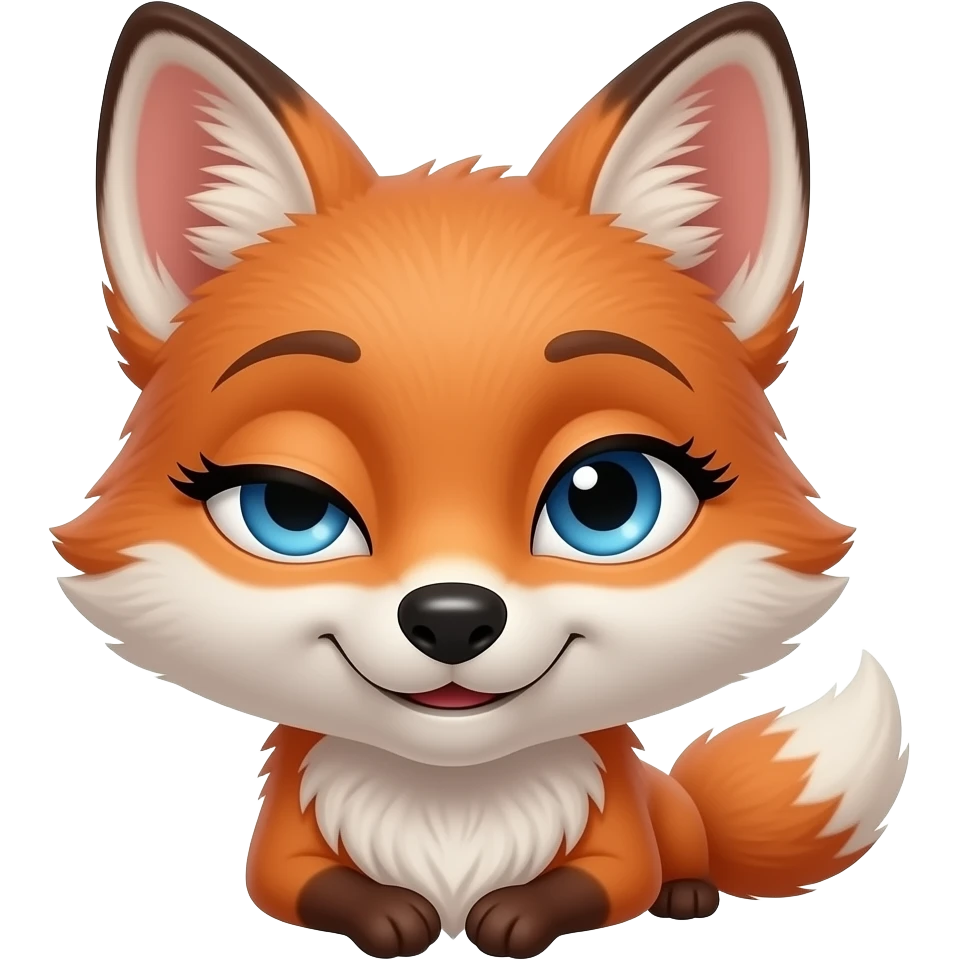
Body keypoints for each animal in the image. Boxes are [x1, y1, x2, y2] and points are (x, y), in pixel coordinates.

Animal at [56, 1, 908, 956]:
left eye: (609, 498)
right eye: (290, 507)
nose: (454, 617)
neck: (454, 803)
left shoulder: (620, 845)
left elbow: (594, 886)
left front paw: (516, 913)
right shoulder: (280, 854)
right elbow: (306, 888)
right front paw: (392, 914)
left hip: (666, 814)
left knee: (685, 843)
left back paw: (689, 890)